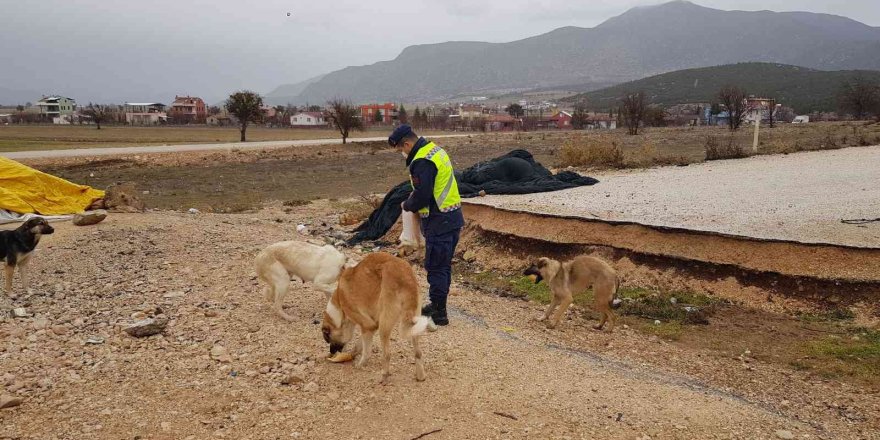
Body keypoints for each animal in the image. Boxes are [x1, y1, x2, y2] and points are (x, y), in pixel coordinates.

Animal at [324, 253, 434, 384]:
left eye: (328, 338)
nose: (331, 353)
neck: (340, 302)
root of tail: (407, 278)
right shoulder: (371, 325)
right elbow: (361, 344)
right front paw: (354, 353)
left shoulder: (366, 324)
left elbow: (366, 351)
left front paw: (360, 364)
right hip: (414, 324)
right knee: (418, 352)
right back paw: (420, 376)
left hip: (385, 325)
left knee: (387, 354)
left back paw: (384, 376)